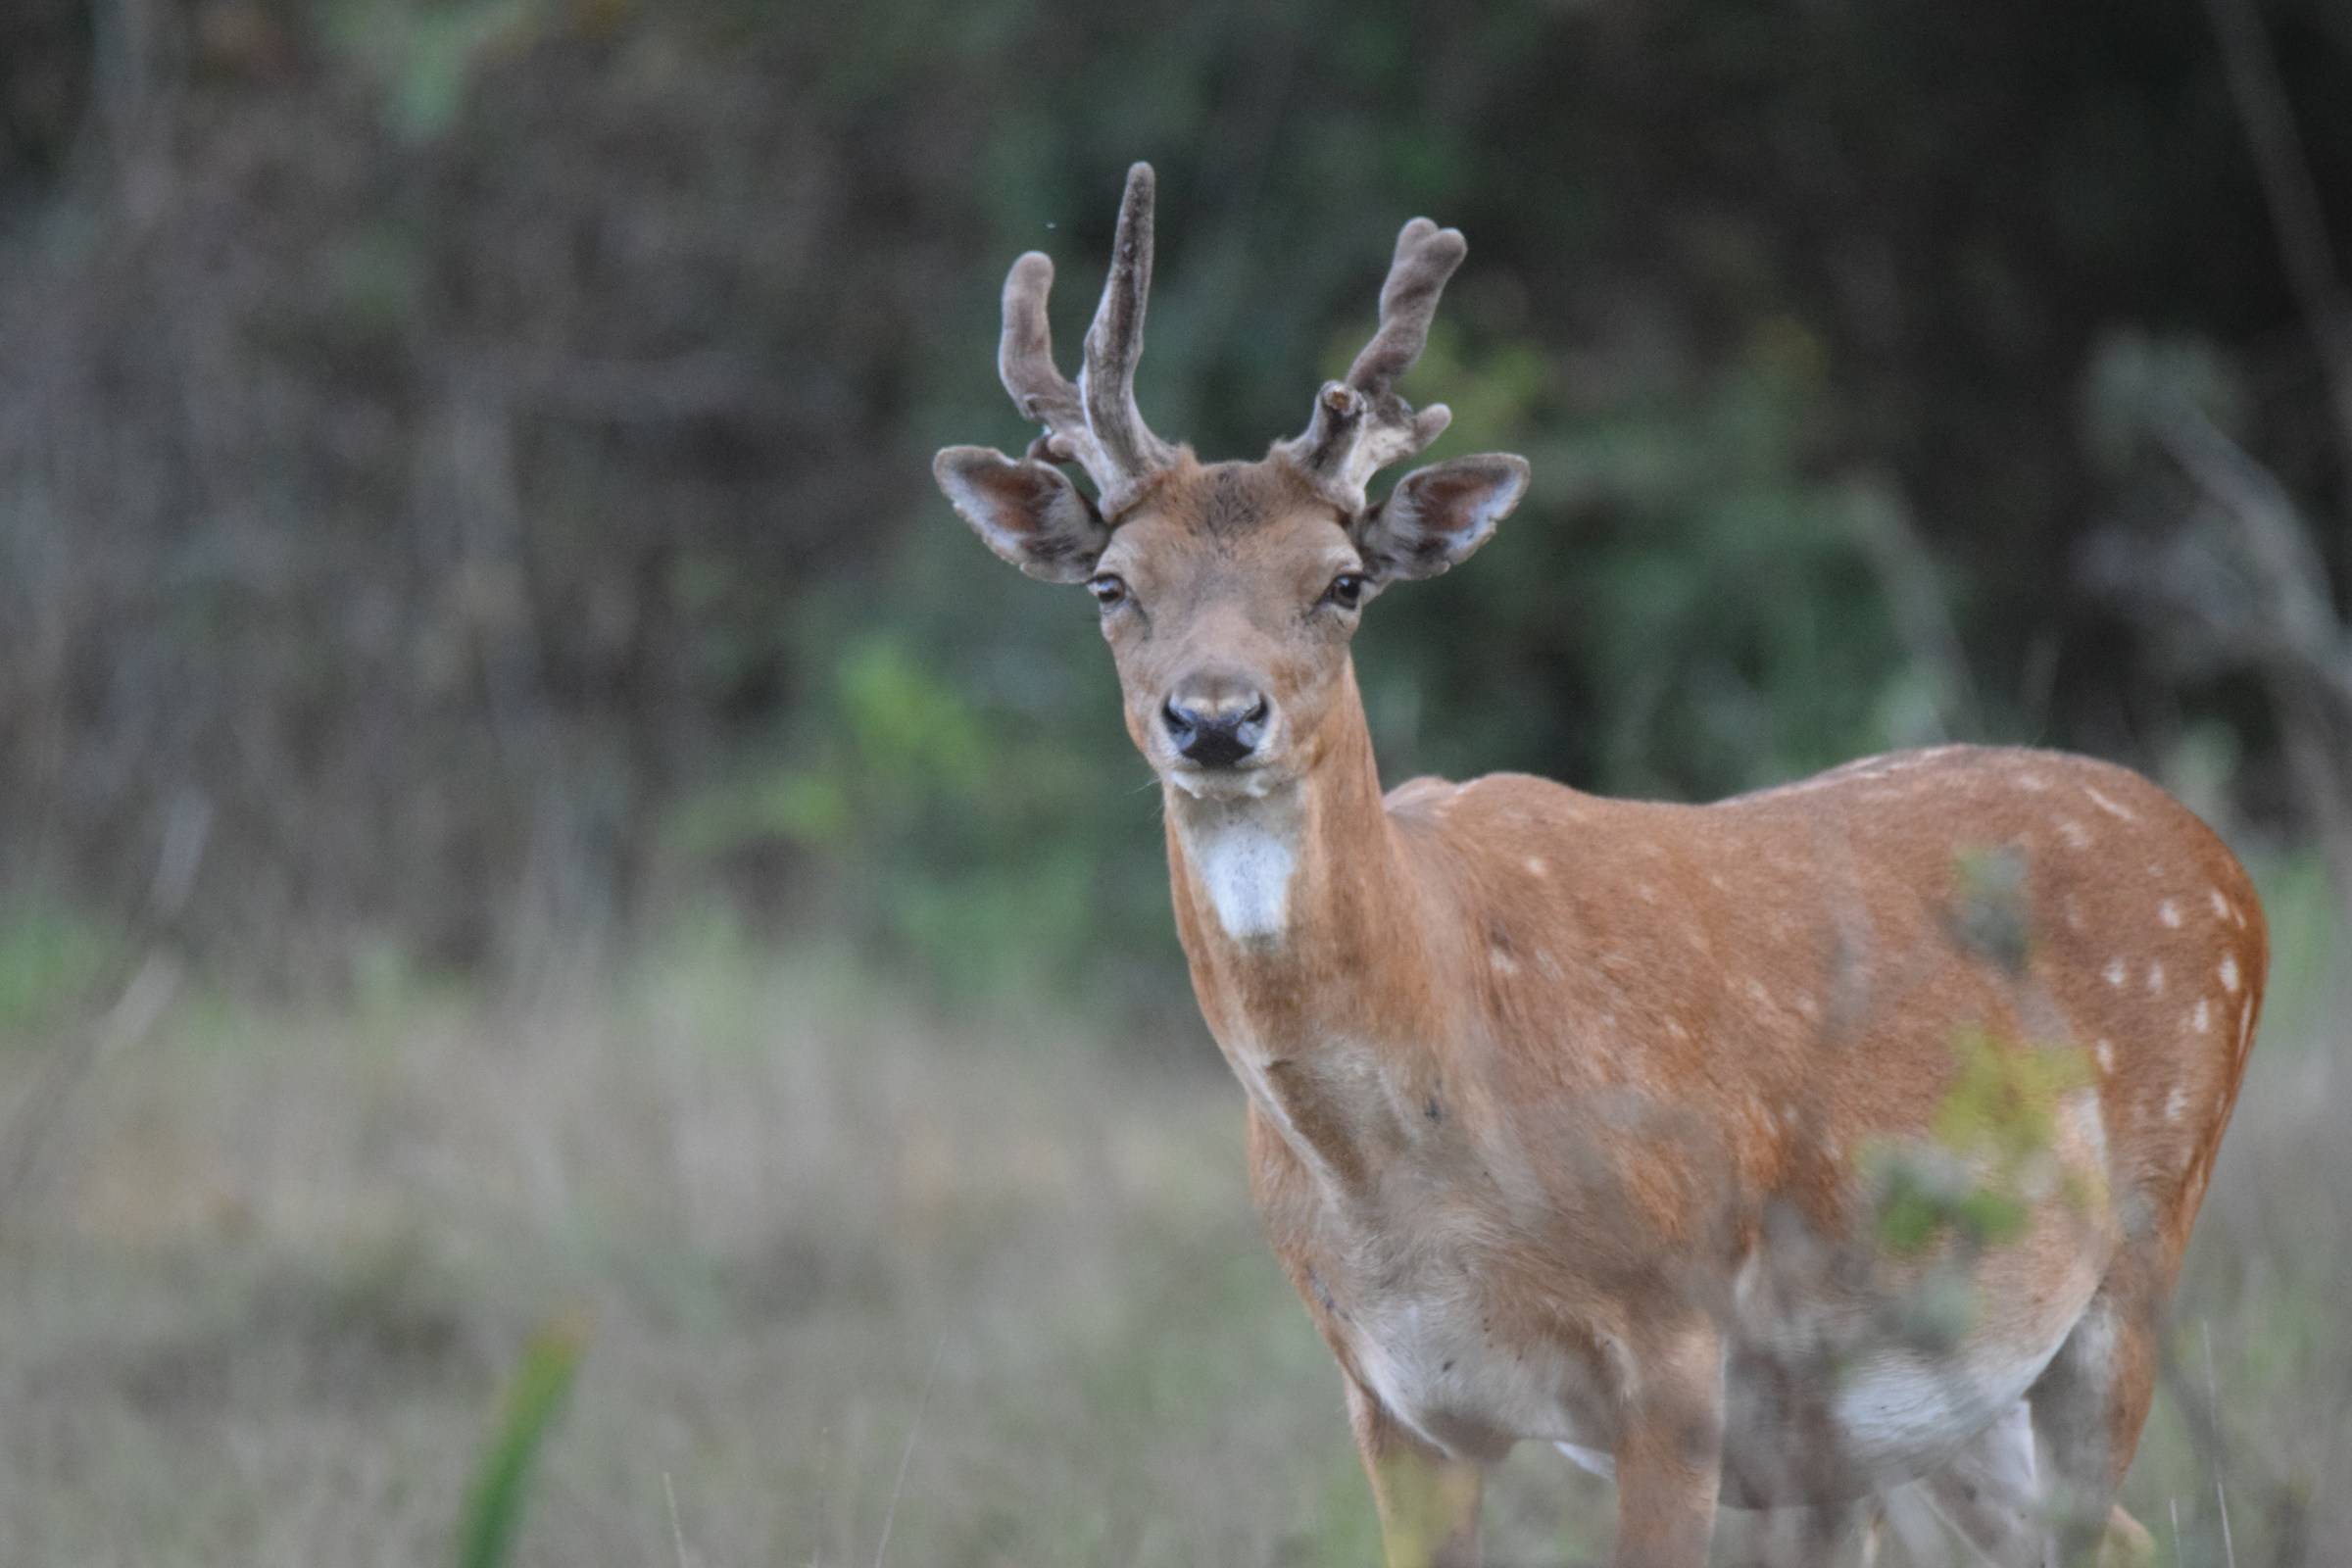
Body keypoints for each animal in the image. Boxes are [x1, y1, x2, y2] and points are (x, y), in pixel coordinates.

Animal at [933, 164, 2265, 1568]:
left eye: (1343, 580)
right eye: (1111, 585)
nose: (1214, 717)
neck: (1406, 1163)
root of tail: (2222, 860)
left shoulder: (1671, 1330)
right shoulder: (1391, 1394)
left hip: (2137, 1250)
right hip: (1923, 1398)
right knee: (2112, 1533)